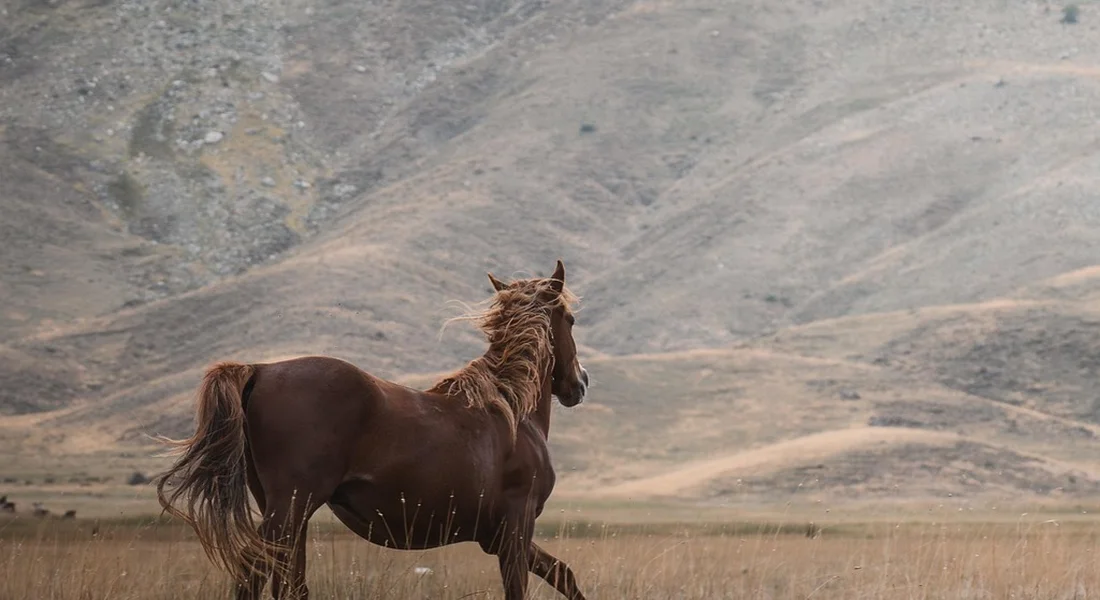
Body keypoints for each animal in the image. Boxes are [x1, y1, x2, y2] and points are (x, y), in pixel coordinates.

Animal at [155, 259, 591, 600]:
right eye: (570, 320)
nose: (580, 383)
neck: (509, 410)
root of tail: (260, 370)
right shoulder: (516, 527)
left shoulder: (496, 536)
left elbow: (565, 575)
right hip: (291, 507)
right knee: (253, 573)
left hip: (287, 512)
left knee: (285, 581)